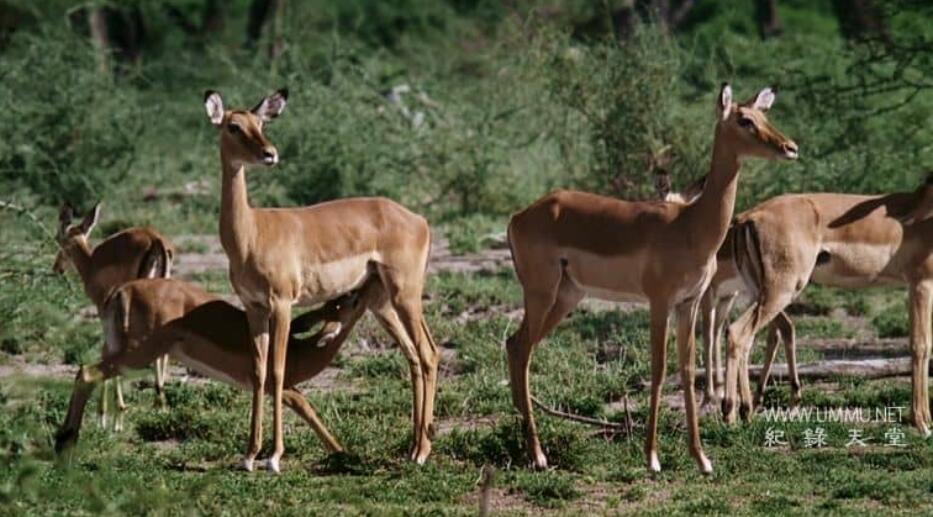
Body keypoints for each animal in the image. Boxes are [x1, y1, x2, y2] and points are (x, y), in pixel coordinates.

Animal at [54, 202, 175, 431]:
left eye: (58, 238)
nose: (57, 268)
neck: (92, 265)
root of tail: (154, 238)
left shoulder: (105, 311)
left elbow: (107, 349)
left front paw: (107, 417)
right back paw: (161, 405)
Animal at [54, 276, 381, 455]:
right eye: (351, 300)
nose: (367, 284)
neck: (298, 352)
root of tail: (122, 292)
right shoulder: (278, 387)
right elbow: (306, 406)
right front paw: (341, 452)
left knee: (88, 372)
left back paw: (63, 440)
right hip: (139, 354)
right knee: (87, 372)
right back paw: (66, 443)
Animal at [203, 88, 440, 473]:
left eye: (261, 124)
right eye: (233, 126)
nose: (270, 154)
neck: (251, 233)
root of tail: (418, 219)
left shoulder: (282, 304)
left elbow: (278, 371)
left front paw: (274, 457)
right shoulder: (254, 307)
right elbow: (258, 372)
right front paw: (250, 454)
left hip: (406, 294)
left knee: (429, 353)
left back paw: (422, 452)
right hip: (383, 304)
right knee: (414, 357)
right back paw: (413, 448)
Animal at [506, 84, 798, 474]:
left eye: (764, 116)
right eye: (744, 120)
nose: (789, 147)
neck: (689, 226)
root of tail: (519, 216)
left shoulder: (689, 303)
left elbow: (688, 369)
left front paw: (702, 459)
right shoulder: (659, 302)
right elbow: (659, 369)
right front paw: (653, 457)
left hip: (566, 296)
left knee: (515, 345)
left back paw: (526, 444)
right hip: (541, 293)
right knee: (521, 349)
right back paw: (538, 455)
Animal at [723, 173, 933, 435]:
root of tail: (748, 217)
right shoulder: (921, 284)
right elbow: (920, 346)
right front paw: (922, 423)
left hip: (762, 292)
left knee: (758, 335)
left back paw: (747, 413)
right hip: (781, 291)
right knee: (737, 332)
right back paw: (731, 416)